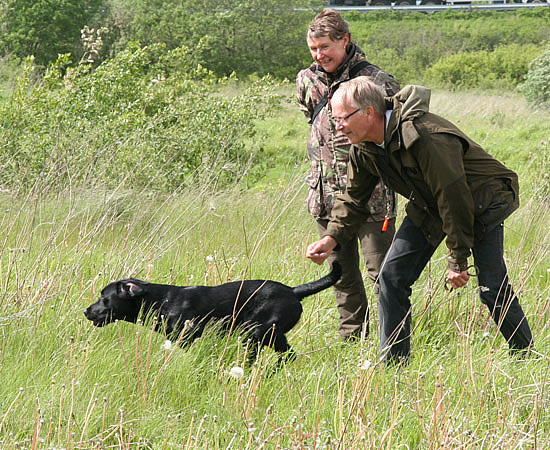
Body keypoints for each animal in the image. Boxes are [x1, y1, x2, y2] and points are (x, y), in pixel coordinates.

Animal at [85, 264, 340, 362]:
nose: (86, 311)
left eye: (104, 299)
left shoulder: (187, 336)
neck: (161, 301)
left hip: (258, 333)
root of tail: (294, 291)